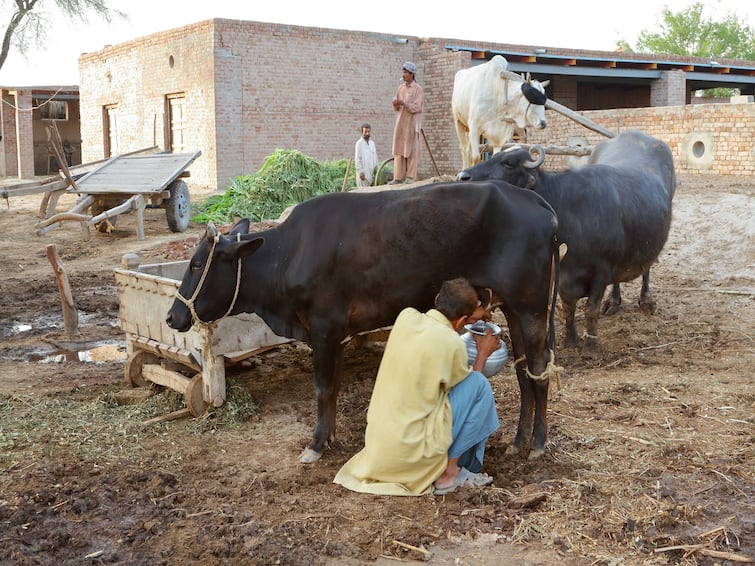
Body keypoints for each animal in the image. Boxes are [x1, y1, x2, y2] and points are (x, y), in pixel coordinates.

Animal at [168, 181, 564, 462]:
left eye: (197, 264)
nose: (173, 316)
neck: (288, 254)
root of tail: (534, 201)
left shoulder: (323, 328)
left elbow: (322, 388)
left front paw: (316, 445)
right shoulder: (334, 333)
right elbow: (332, 389)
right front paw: (328, 438)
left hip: (530, 306)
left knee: (539, 367)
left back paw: (538, 443)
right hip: (512, 307)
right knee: (523, 370)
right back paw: (518, 441)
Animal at [458, 131, 676, 352]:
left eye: (508, 163)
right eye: (492, 156)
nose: (463, 176)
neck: (571, 211)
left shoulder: (602, 271)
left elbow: (591, 309)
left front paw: (590, 346)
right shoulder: (563, 272)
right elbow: (567, 307)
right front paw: (570, 341)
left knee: (647, 268)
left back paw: (646, 301)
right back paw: (613, 302)